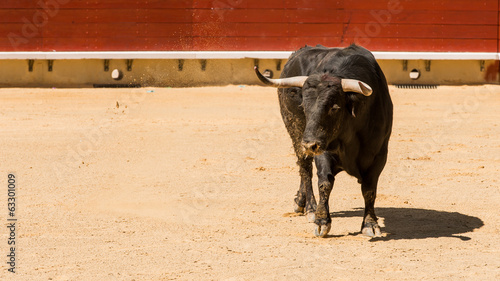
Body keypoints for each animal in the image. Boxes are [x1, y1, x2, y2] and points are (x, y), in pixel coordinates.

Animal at [256, 44, 392, 236]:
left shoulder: (379, 155)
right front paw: (321, 221)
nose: (309, 144)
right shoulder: (323, 149)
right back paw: (310, 208)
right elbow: (324, 183)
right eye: (304, 106)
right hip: (296, 132)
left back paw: (300, 201)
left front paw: (370, 224)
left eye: (334, 108)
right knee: (305, 169)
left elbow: (369, 189)